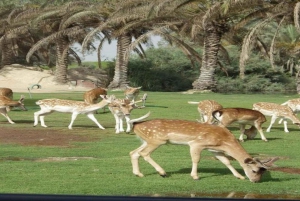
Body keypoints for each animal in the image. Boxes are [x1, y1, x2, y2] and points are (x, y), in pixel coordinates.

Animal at [129, 114, 278, 182]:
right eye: (254, 170)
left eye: (262, 172)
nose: (255, 181)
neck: (224, 140)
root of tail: (136, 125)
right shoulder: (196, 144)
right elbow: (196, 159)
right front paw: (195, 176)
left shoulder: (214, 149)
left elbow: (226, 161)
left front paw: (239, 176)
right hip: (157, 140)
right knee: (144, 154)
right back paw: (162, 172)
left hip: (146, 140)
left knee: (134, 152)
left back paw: (138, 173)